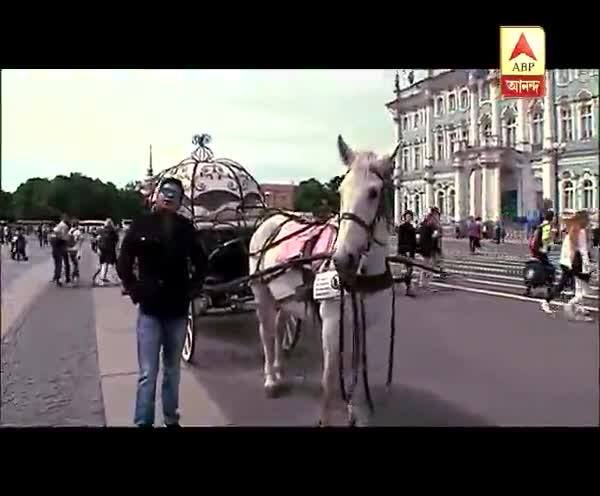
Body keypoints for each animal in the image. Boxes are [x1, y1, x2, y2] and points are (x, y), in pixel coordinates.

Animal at [247, 136, 398, 426]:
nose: (341, 258)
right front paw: (327, 418)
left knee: (280, 328)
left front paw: (357, 412)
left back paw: (279, 371)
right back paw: (271, 378)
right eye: (340, 191)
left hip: (286, 297)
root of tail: (270, 219)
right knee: (266, 333)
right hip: (262, 294)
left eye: (374, 192)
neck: (360, 275)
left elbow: (359, 371)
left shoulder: (368, 324)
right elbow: (329, 378)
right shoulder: (331, 323)